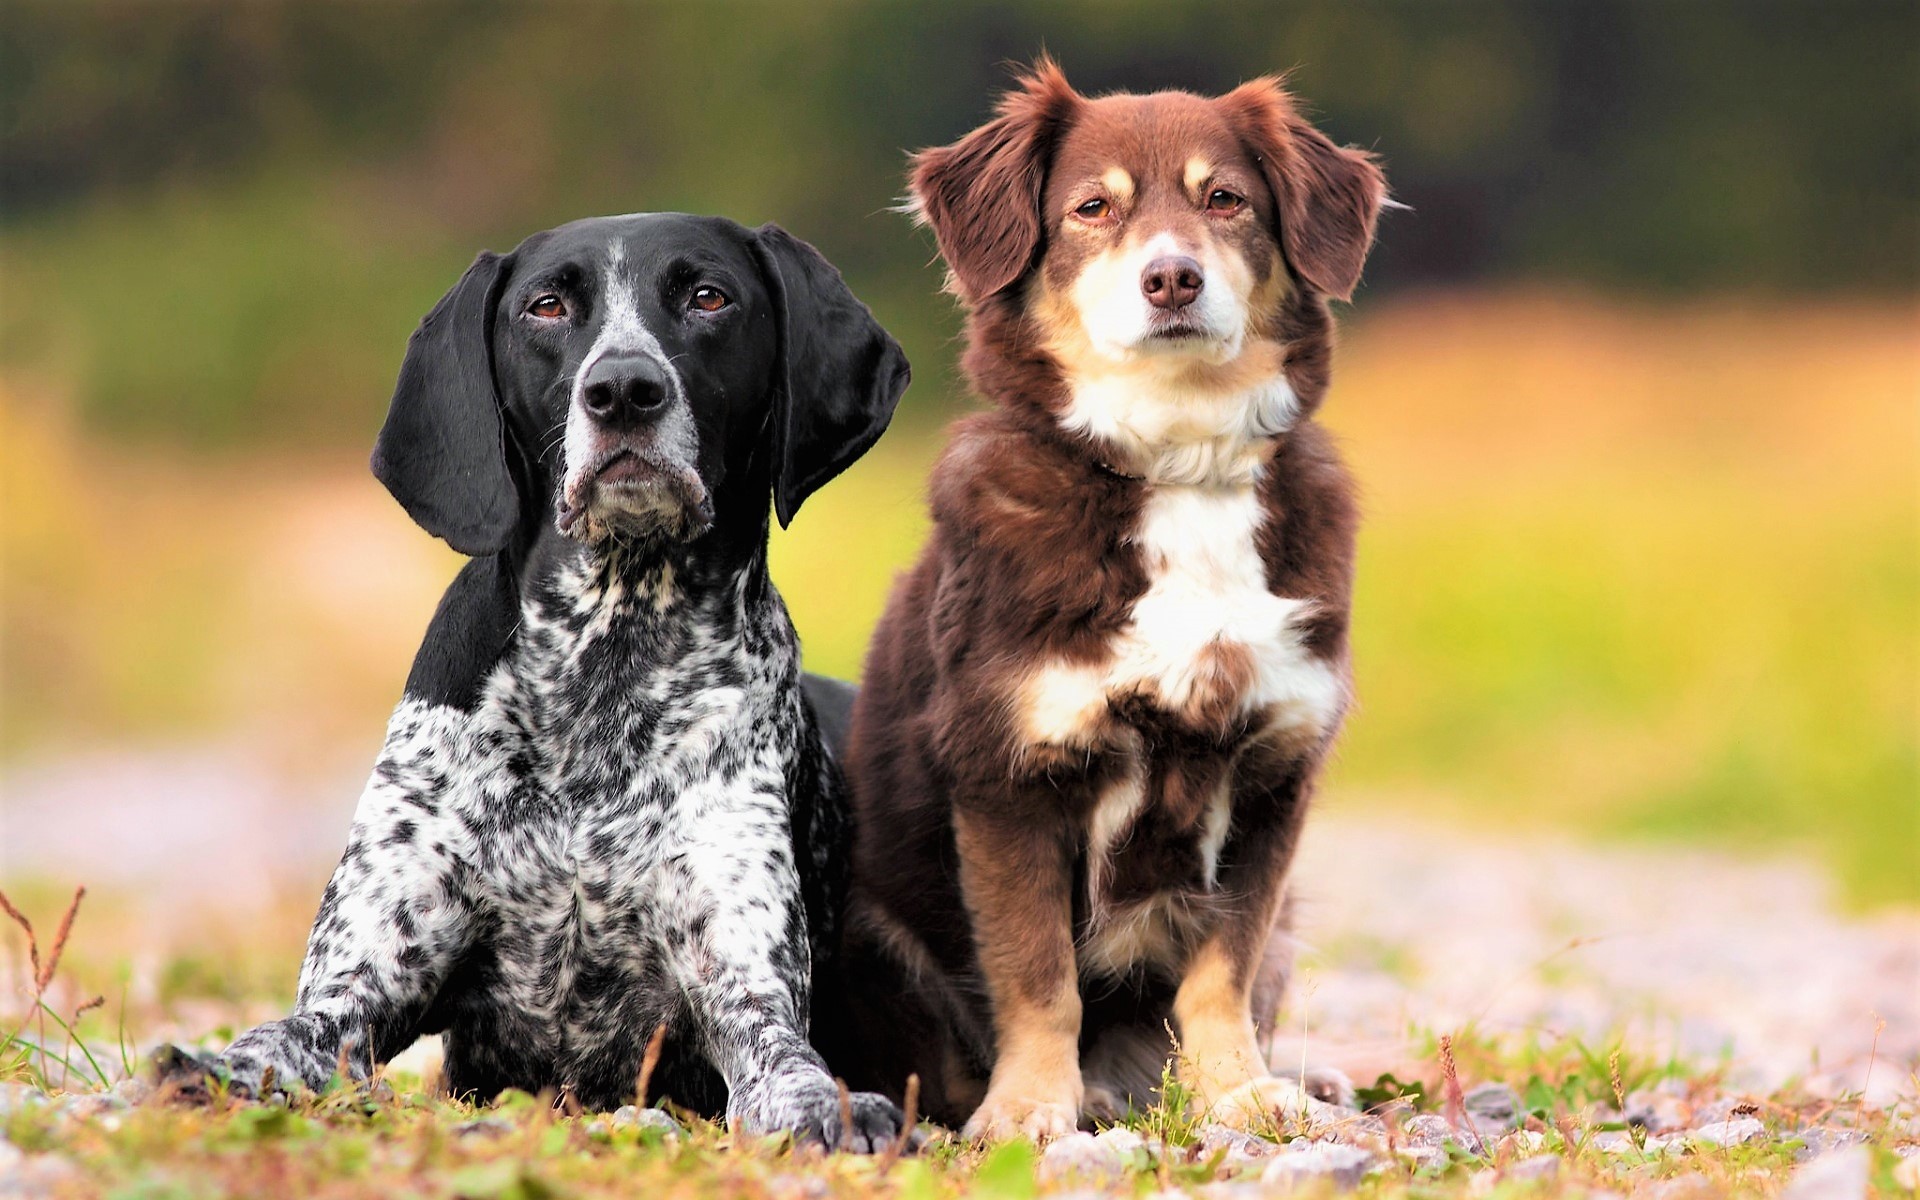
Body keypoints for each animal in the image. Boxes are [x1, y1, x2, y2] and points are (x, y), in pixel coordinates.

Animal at [191, 215, 910, 1152]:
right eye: (546, 306)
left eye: (709, 296)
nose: (624, 390)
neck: (607, 657)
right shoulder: (365, 979)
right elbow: (282, 1037)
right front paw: (209, 1067)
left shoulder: (743, 987)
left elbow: (786, 1062)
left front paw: (834, 1107)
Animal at [840, 60, 1382, 1136]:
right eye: (1093, 209)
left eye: (1227, 200)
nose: (1171, 278)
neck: (1179, 464)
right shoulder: (1008, 776)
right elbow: (1038, 971)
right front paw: (1031, 1108)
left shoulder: (1272, 777)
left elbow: (1223, 965)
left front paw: (1240, 1089)